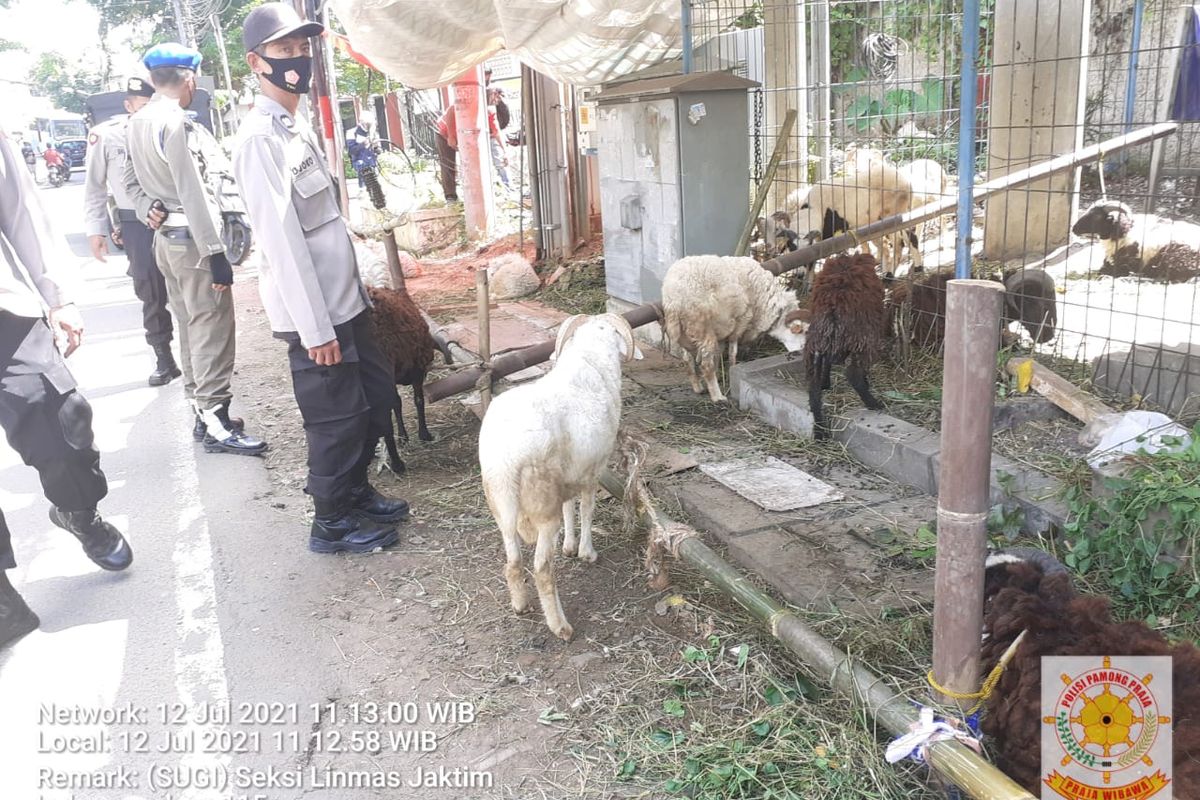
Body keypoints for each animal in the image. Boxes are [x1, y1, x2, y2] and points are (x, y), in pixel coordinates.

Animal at [364, 286, 451, 474]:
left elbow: (397, 403)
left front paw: (403, 437)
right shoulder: (416, 371)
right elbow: (418, 400)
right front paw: (424, 434)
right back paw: (397, 464)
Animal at [475, 309, 643, 642]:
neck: (591, 361)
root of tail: (507, 455)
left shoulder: (568, 478)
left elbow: (569, 508)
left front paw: (570, 546)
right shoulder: (594, 471)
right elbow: (587, 510)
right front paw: (586, 553)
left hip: (501, 503)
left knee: (513, 562)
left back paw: (521, 606)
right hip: (541, 507)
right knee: (541, 570)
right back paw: (561, 627)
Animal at [662, 256, 811, 402]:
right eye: (803, 332)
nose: (801, 353)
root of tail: (673, 298)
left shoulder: (723, 330)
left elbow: (719, 353)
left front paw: (721, 374)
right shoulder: (741, 322)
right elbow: (732, 352)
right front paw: (731, 370)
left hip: (685, 330)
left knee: (687, 359)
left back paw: (698, 388)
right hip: (702, 327)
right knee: (706, 365)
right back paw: (717, 397)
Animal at [801, 251, 888, 441]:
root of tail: (832, 309)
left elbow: (827, 365)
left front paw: (826, 383)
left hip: (816, 345)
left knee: (813, 388)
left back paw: (819, 431)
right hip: (863, 339)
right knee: (852, 373)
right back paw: (874, 404)